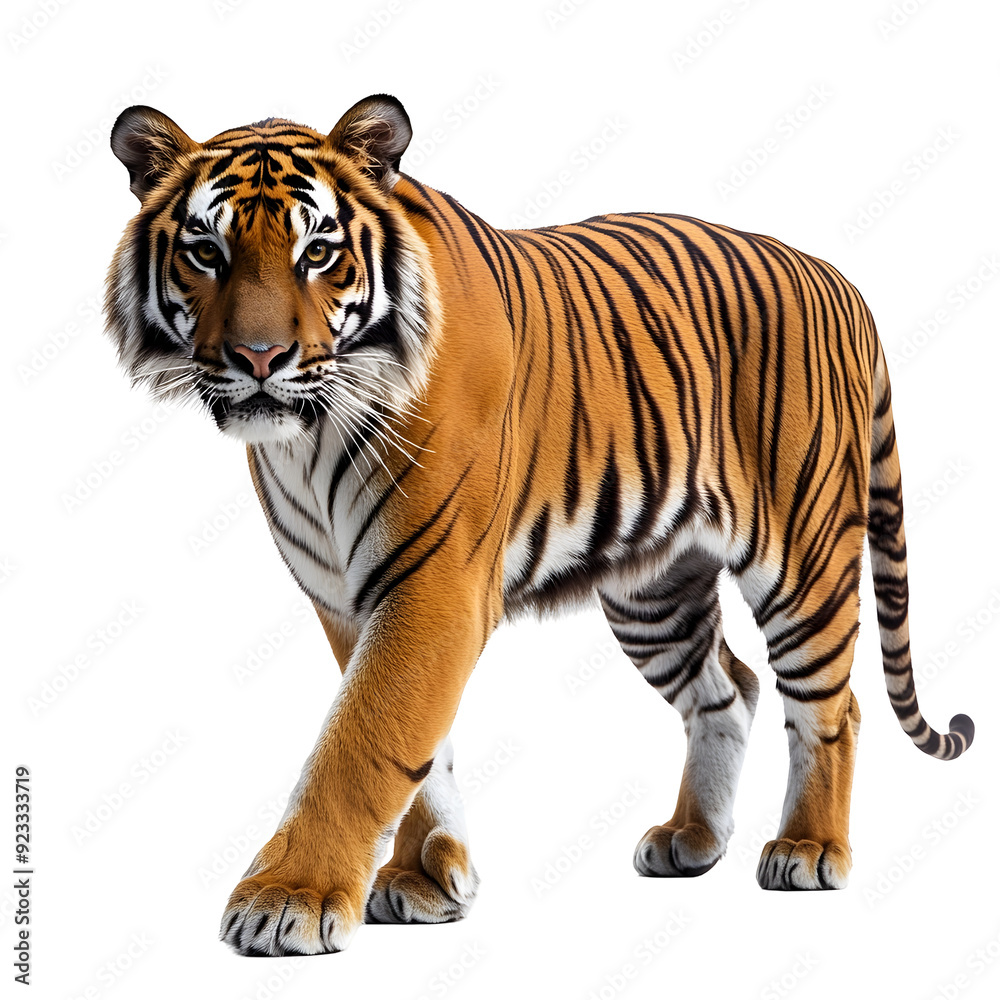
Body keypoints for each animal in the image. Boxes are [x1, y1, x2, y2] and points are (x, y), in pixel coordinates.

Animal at [104, 94, 974, 957]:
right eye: (206, 251)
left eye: (318, 252)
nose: (259, 358)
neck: (307, 442)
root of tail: (837, 279)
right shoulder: (348, 599)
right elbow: (419, 746)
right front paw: (428, 879)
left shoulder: (434, 587)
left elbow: (361, 741)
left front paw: (291, 898)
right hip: (654, 592)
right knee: (729, 688)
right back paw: (691, 839)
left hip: (804, 557)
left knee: (832, 705)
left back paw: (809, 849)